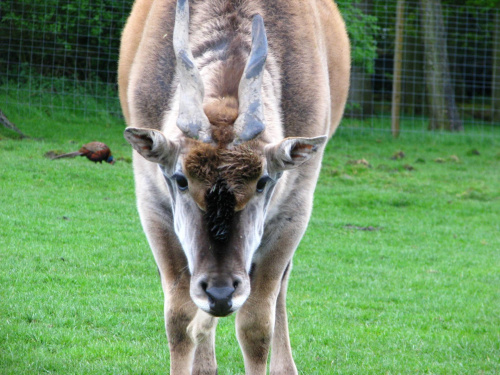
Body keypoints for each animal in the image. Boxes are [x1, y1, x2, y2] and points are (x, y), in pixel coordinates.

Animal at [119, 0, 350, 374]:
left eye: (263, 182)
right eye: (181, 180)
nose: (221, 292)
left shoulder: (294, 210)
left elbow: (256, 326)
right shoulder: (153, 205)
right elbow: (179, 319)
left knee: (280, 289)